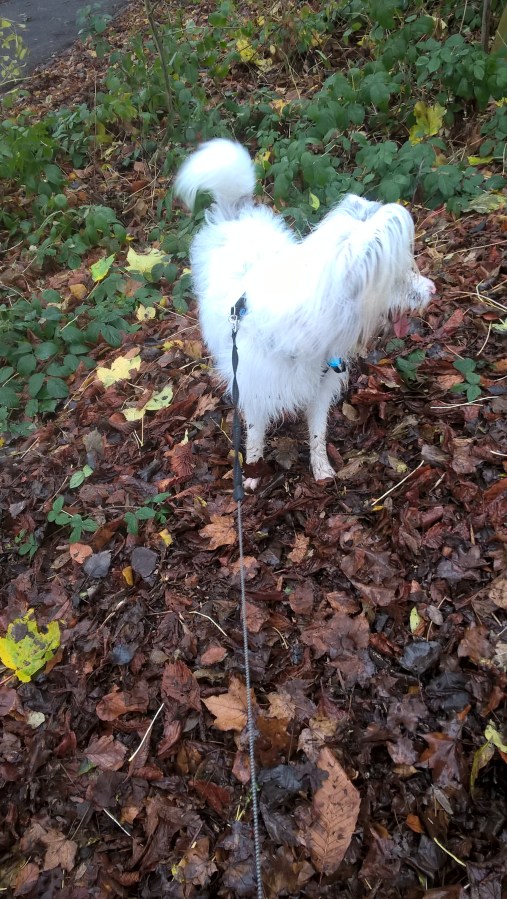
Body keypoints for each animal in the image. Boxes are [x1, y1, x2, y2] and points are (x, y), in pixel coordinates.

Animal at [175, 139, 435, 483]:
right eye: (397, 278)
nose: (433, 290)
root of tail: (235, 214)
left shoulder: (321, 388)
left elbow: (317, 433)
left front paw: (322, 469)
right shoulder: (255, 391)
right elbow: (255, 435)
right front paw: (252, 473)